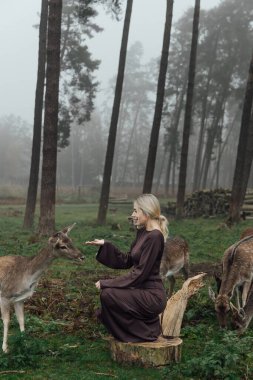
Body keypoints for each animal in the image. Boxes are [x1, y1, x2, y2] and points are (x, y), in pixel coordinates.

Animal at [0, 223, 84, 354]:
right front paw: (5, 348)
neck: (26, 276)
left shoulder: (20, 299)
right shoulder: (4, 295)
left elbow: (21, 319)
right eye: (62, 246)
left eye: (71, 241)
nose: (82, 257)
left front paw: (25, 343)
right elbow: (6, 320)